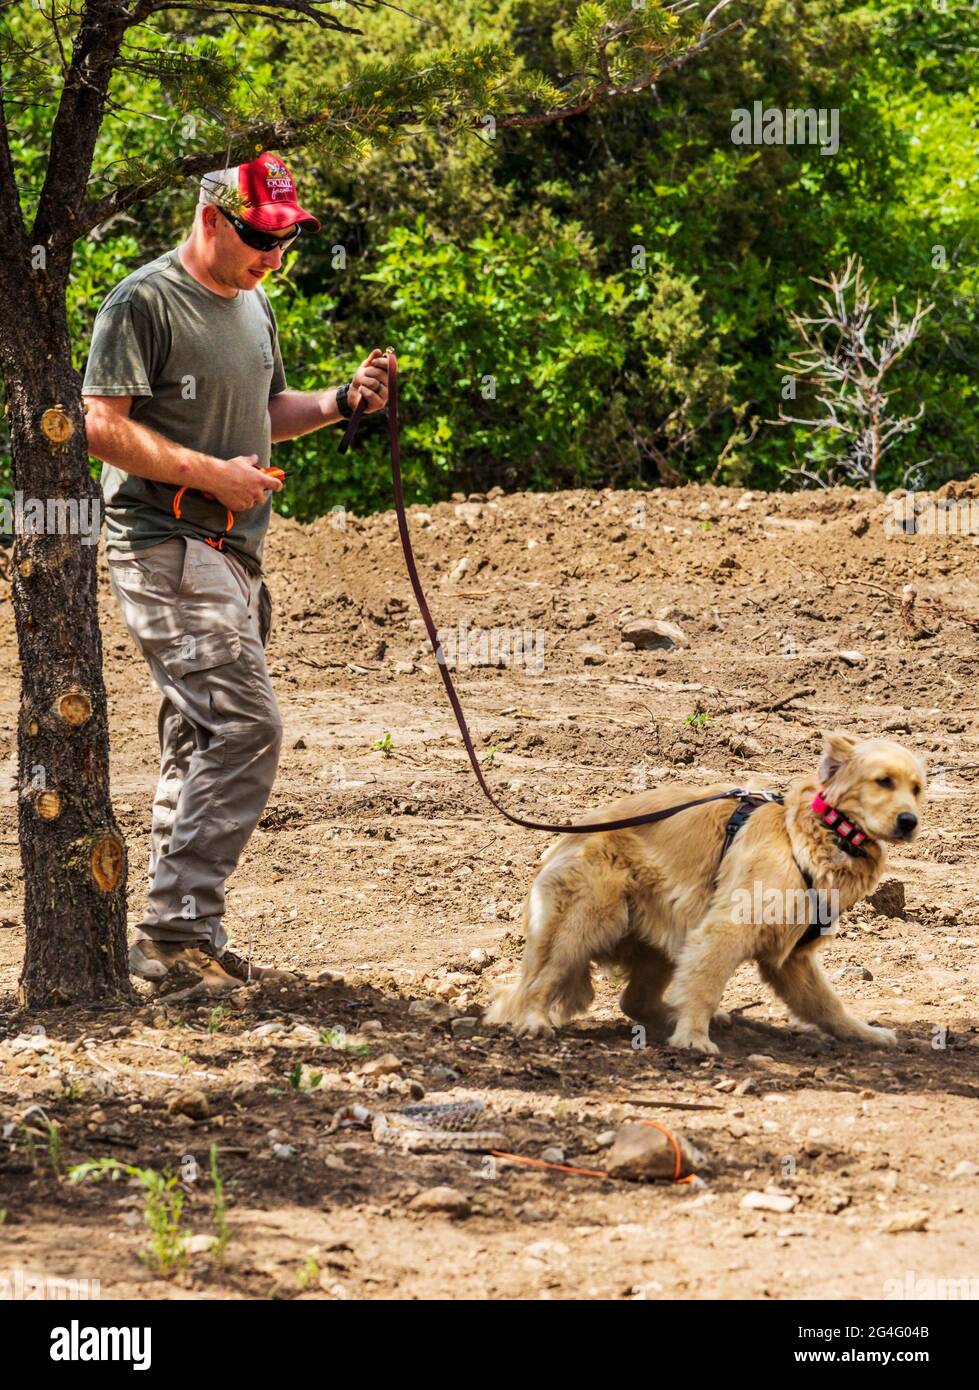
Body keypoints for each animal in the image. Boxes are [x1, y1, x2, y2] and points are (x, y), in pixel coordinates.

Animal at [489, 733, 923, 1045]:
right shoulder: (725, 929)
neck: (822, 833)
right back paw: (534, 1021)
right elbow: (707, 984)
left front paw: (864, 1034)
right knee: (541, 982)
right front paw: (694, 1038)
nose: (910, 821)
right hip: (585, 925)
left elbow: (827, 1005)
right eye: (883, 782)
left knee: (634, 1001)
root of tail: (565, 841)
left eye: (917, 789)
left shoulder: (792, 958)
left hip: (662, 938)